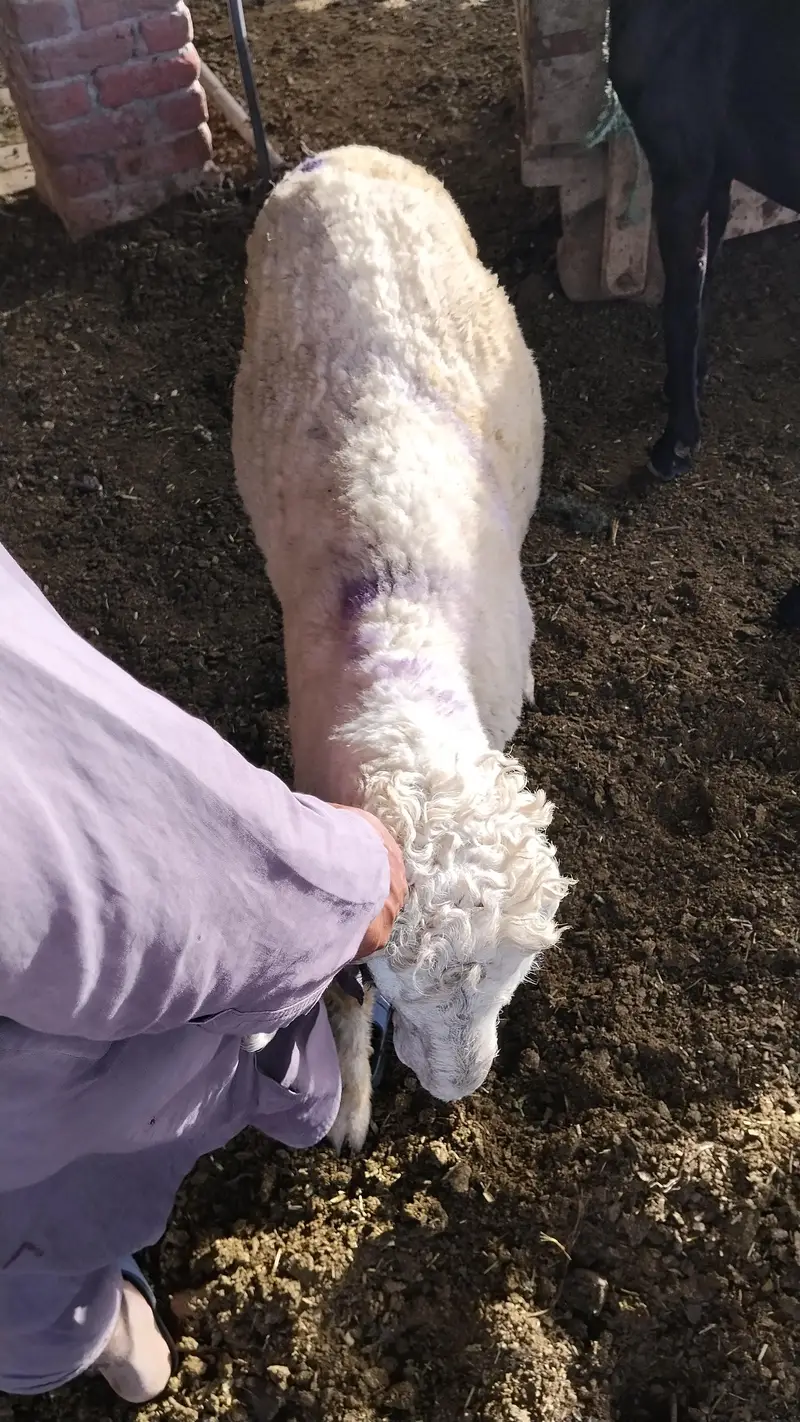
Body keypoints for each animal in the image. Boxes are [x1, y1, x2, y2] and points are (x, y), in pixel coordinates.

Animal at [608, 0, 800, 627]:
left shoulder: (681, 171)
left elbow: (679, 310)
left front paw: (676, 444)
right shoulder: (717, 171)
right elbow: (702, 285)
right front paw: (686, 383)